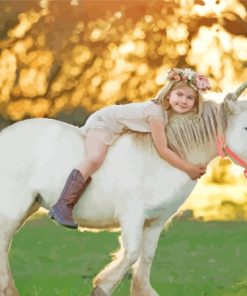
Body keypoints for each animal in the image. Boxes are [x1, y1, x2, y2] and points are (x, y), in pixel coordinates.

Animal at [0, 84, 246, 296]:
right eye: (245, 127)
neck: (164, 159)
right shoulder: (132, 216)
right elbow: (132, 252)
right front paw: (101, 287)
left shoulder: (155, 222)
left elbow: (146, 257)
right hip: (13, 209)